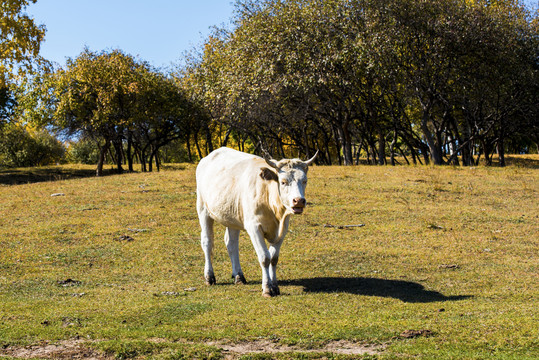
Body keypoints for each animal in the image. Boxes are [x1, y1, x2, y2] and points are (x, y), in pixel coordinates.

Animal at [197, 148, 316, 296]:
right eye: (283, 182)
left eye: (304, 181)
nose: (298, 201)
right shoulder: (254, 227)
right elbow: (265, 257)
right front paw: (267, 288)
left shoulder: (283, 229)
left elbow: (274, 258)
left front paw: (275, 286)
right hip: (203, 209)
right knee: (207, 242)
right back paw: (209, 277)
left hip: (232, 215)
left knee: (231, 243)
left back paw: (239, 276)